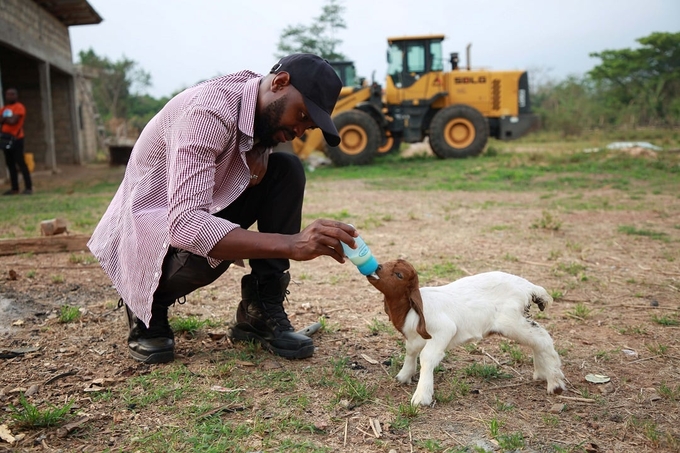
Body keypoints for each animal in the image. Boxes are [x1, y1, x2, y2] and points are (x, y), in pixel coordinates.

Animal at [370, 260, 564, 404]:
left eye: (399, 275)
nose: (377, 267)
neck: (410, 309)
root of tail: (528, 287)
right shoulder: (414, 337)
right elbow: (411, 352)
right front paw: (403, 376)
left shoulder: (443, 329)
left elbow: (427, 357)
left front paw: (421, 396)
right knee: (538, 341)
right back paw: (542, 373)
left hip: (512, 321)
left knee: (543, 340)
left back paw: (555, 383)